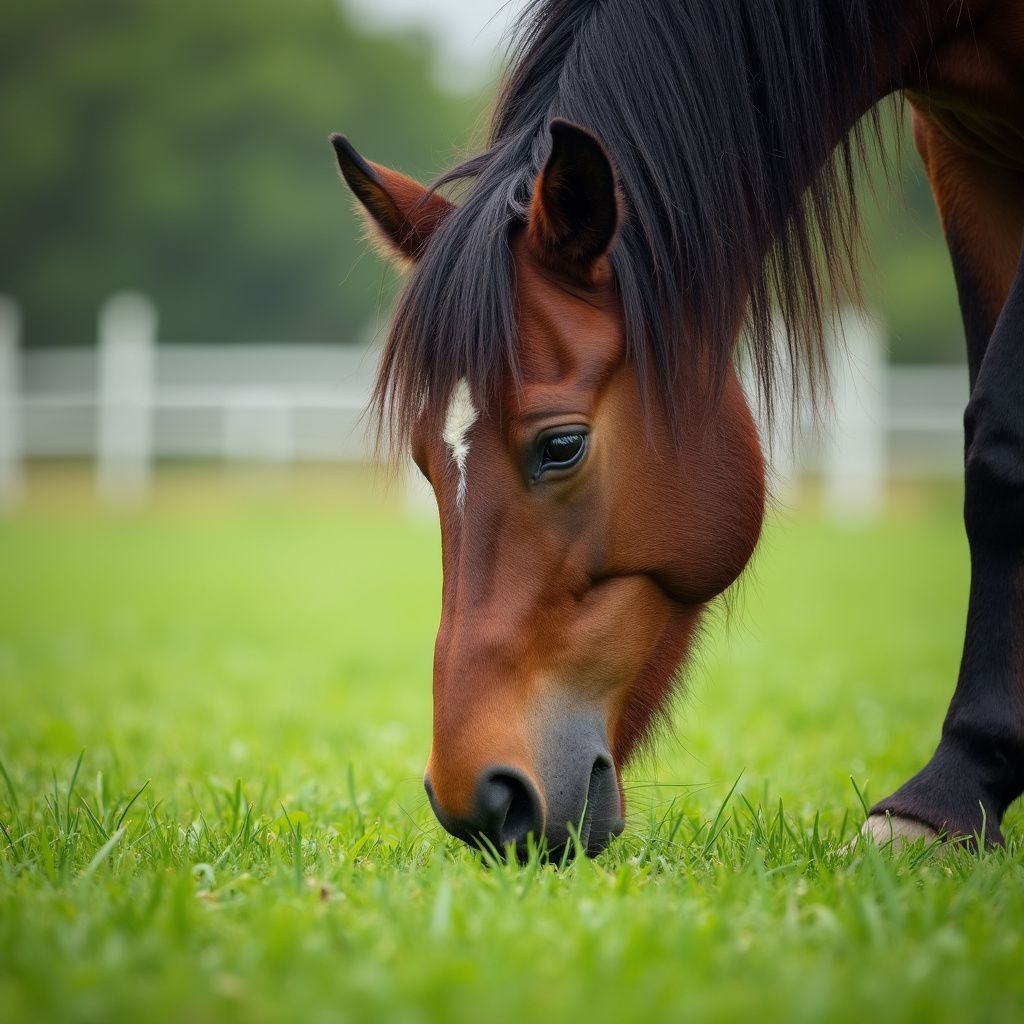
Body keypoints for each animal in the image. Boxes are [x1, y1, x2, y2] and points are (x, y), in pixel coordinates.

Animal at [329, 0, 1024, 858]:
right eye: (425, 464)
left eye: (561, 445)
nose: (479, 801)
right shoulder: (963, 149)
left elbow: (1001, 449)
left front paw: (947, 798)